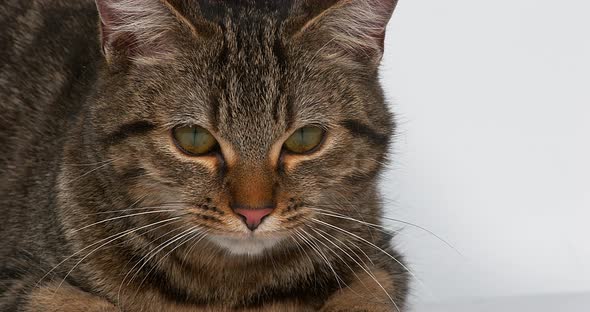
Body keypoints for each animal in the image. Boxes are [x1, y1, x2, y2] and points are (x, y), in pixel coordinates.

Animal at [0, 0, 410, 310]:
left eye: (306, 138)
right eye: (194, 138)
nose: (253, 213)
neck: (226, 288)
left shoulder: (383, 261)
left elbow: (366, 295)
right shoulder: (21, 280)